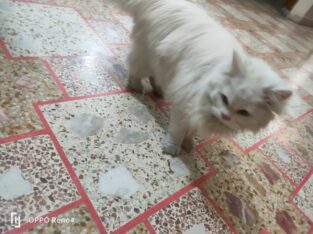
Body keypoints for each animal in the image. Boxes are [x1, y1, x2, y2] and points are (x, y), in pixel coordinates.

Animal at [113, 0, 292, 155]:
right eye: (224, 98)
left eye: (244, 112)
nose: (225, 116)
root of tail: (167, 3)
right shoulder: (185, 104)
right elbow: (177, 131)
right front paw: (172, 147)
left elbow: (191, 131)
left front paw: (188, 144)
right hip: (147, 56)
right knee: (136, 70)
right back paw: (136, 86)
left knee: (154, 75)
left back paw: (159, 90)